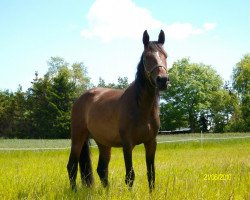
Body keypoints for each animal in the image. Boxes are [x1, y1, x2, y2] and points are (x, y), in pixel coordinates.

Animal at [67, 29, 170, 191]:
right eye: (147, 57)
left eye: (165, 55)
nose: (163, 80)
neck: (141, 108)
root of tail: (79, 99)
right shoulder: (127, 144)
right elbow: (130, 175)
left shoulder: (151, 143)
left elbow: (151, 174)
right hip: (78, 138)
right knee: (72, 166)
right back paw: (74, 192)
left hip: (103, 143)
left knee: (101, 169)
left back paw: (106, 192)